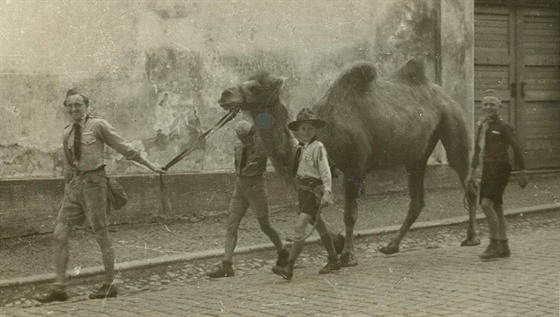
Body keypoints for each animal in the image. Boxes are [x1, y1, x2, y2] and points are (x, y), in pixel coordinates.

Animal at [219, 59, 482, 266]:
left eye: (255, 87)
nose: (224, 94)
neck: (323, 131)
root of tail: (444, 94)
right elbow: (314, 213)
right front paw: (336, 244)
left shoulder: (355, 168)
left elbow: (349, 215)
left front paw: (347, 256)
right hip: (416, 155)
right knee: (417, 200)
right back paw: (391, 245)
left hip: (452, 121)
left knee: (466, 178)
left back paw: (472, 237)